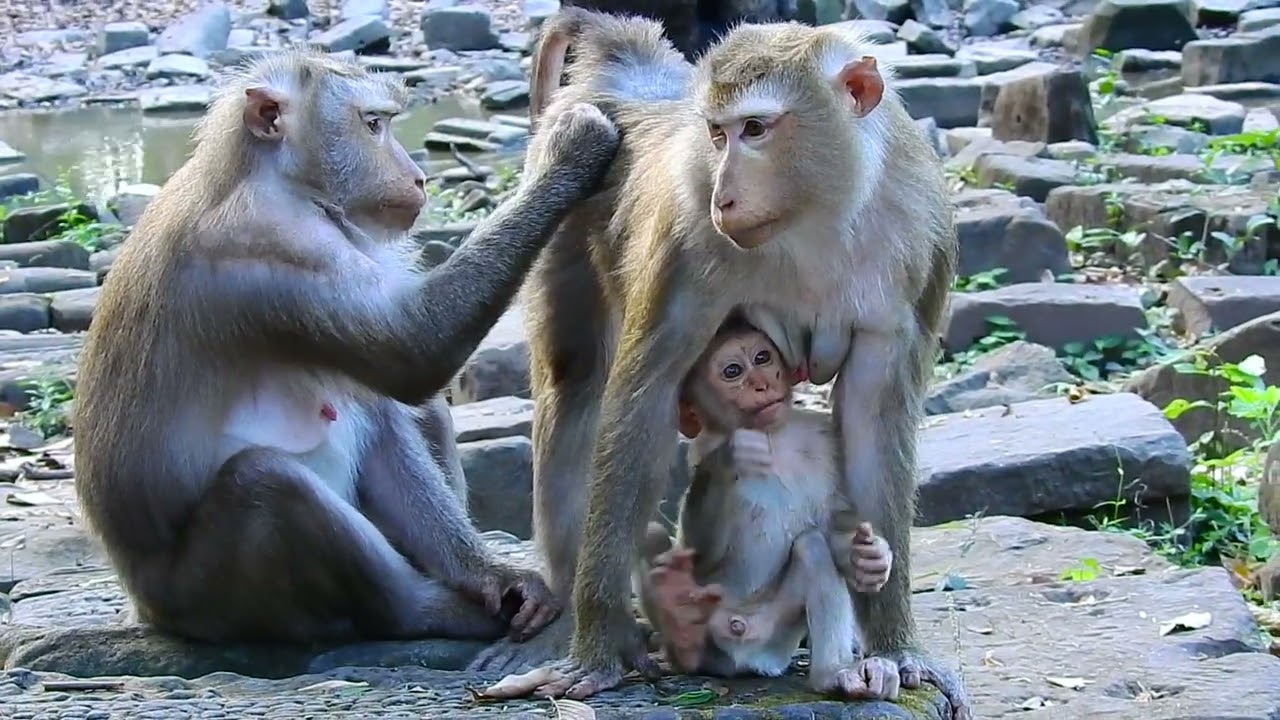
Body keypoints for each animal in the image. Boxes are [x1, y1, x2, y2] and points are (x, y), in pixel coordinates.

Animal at [71, 47, 621, 646]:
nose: (418, 177)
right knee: (268, 481)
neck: (270, 176)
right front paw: (572, 150)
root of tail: (142, 604)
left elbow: (387, 403)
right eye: (373, 124)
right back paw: (420, 611)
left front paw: (491, 575)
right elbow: (415, 346)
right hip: (204, 598)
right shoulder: (276, 249)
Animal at [633, 318, 897, 695]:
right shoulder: (696, 452)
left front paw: (870, 558)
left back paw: (831, 674)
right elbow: (701, 550)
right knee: (651, 535)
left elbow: (832, 525)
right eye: (732, 371)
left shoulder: (825, 437)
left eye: (762, 357)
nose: (762, 383)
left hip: (772, 638)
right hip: (712, 641)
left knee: (811, 547)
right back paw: (681, 624)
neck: (773, 436)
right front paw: (730, 457)